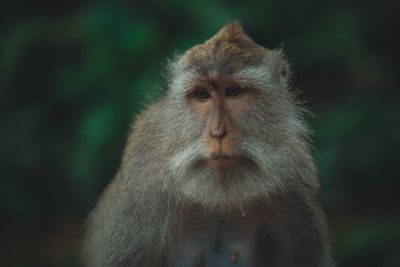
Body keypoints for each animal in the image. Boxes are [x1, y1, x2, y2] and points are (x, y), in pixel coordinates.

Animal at [81, 21, 334, 267]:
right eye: (202, 95)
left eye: (234, 92)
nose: (217, 133)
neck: (219, 197)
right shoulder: (141, 188)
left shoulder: (298, 181)